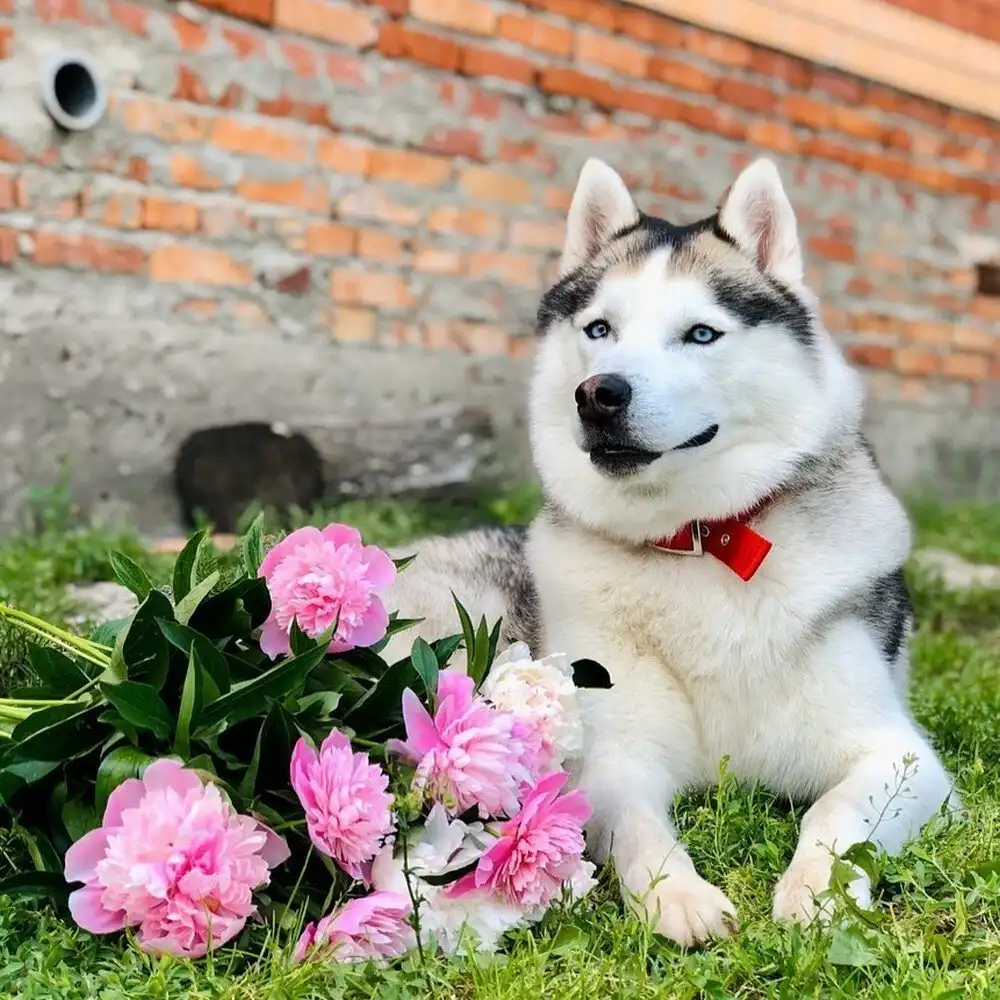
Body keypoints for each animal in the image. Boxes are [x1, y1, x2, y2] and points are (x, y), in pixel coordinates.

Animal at [382, 157, 958, 947]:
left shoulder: (903, 758)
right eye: (600, 328)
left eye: (701, 334)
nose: (599, 393)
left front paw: (817, 890)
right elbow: (637, 826)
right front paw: (676, 895)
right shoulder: (613, 757)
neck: (698, 541)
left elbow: (832, 811)